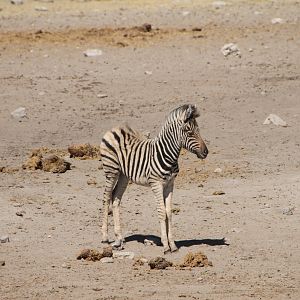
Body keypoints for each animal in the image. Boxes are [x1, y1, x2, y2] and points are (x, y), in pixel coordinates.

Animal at [99, 103, 207, 253]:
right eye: (190, 132)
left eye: (199, 130)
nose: (206, 152)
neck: (168, 155)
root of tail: (115, 128)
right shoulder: (156, 183)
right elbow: (161, 211)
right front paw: (166, 245)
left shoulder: (170, 184)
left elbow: (169, 212)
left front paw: (173, 245)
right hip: (111, 170)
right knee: (106, 197)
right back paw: (104, 236)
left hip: (123, 175)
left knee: (115, 199)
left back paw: (119, 238)